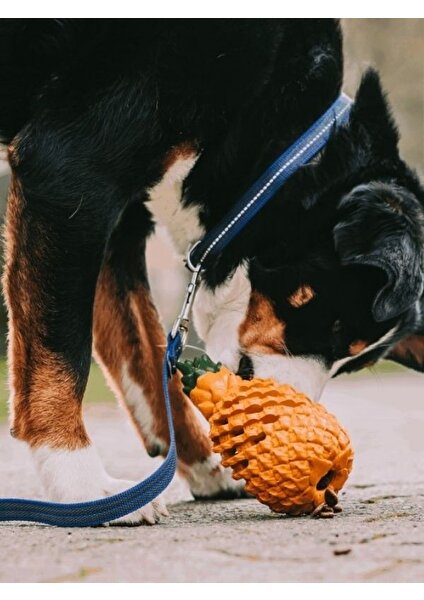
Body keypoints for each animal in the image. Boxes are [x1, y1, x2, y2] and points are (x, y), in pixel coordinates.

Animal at [0, 19, 422, 524]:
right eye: (333, 327)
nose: (296, 415)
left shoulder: (117, 223)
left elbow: (146, 355)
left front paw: (204, 465)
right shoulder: (72, 173)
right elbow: (60, 353)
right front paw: (84, 485)